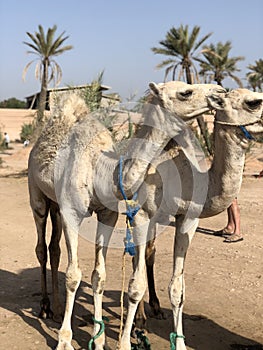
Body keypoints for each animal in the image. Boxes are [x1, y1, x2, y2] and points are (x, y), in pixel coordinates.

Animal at [119, 88, 263, 350]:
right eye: (253, 102)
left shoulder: (188, 218)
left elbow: (177, 288)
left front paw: (180, 342)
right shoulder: (142, 214)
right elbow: (135, 283)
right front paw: (125, 340)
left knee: (149, 254)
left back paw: (154, 311)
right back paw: (139, 321)